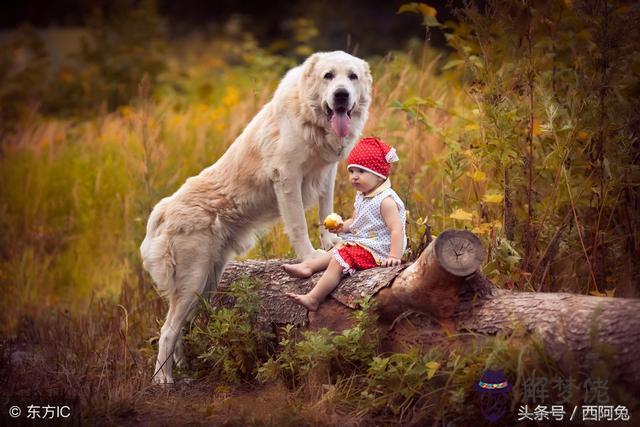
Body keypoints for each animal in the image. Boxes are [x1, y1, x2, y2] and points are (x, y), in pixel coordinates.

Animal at [140, 50, 370, 384]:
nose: (341, 95)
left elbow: (326, 212)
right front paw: (310, 258)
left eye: (352, 77)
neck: (310, 117)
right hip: (193, 278)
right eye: (329, 76)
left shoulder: (326, 172)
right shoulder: (287, 176)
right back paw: (163, 380)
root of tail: (163, 209)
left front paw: (331, 242)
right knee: (168, 330)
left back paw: (182, 369)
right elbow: (299, 225)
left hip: (205, 282)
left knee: (178, 327)